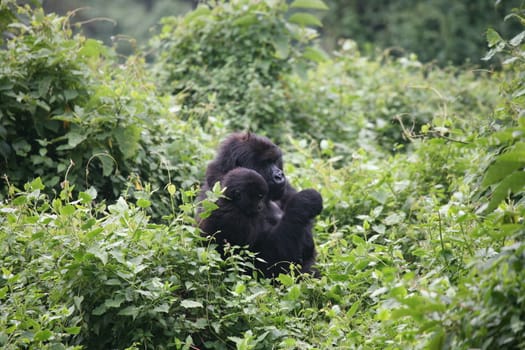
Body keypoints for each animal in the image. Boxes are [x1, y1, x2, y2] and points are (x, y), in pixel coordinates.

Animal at [200, 133, 324, 278]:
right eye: (265, 163)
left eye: (274, 161)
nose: (280, 175)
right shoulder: (226, 210)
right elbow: (266, 260)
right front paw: (304, 201)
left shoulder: (284, 188)